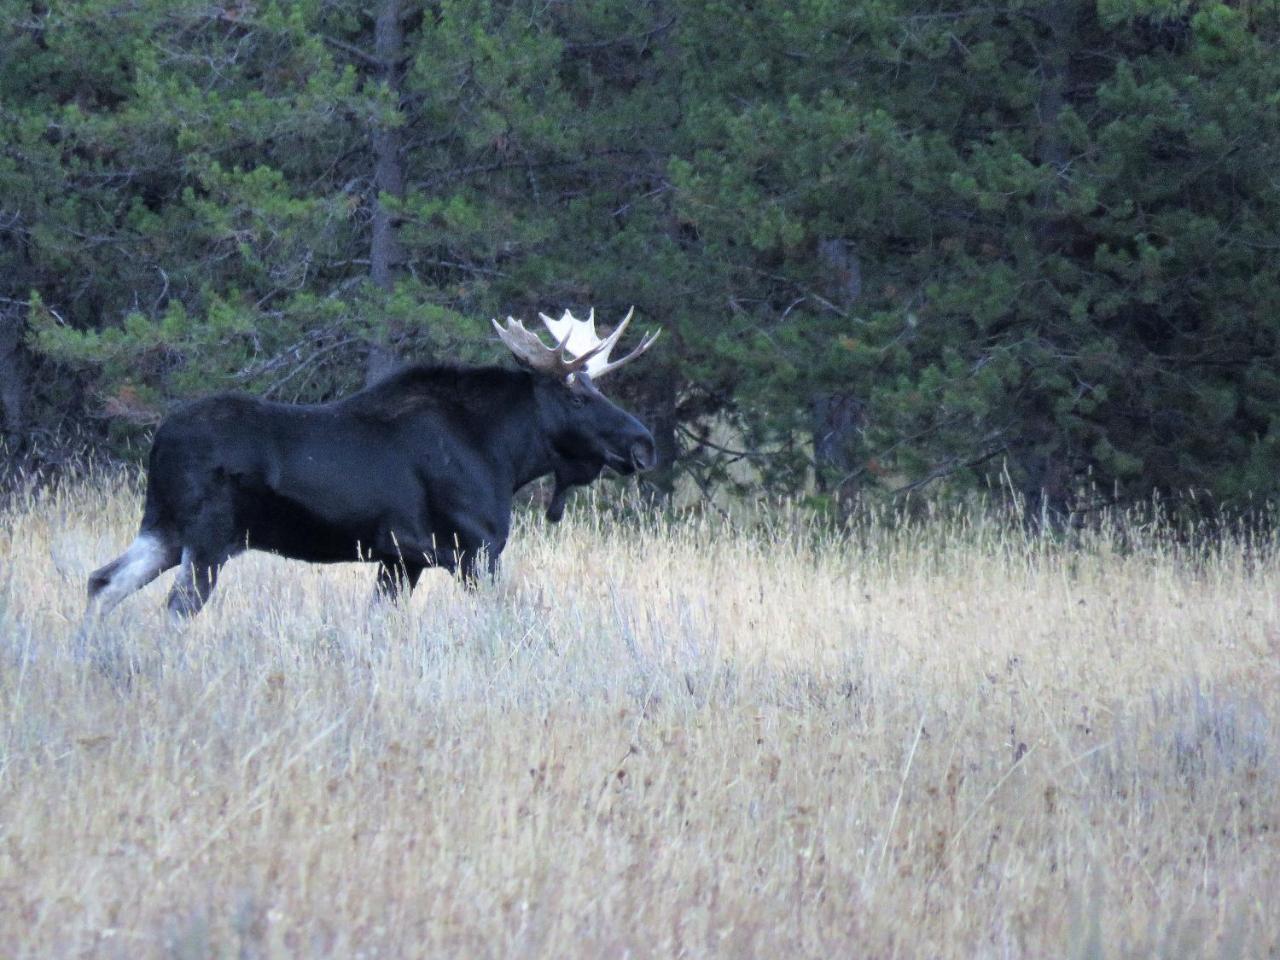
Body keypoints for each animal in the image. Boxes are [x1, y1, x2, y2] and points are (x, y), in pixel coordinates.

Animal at [80, 309, 660, 640]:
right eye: (577, 396)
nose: (644, 444)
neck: (505, 454)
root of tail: (159, 441)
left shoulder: (401, 560)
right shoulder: (474, 551)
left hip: (164, 529)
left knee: (101, 582)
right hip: (207, 539)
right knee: (174, 609)